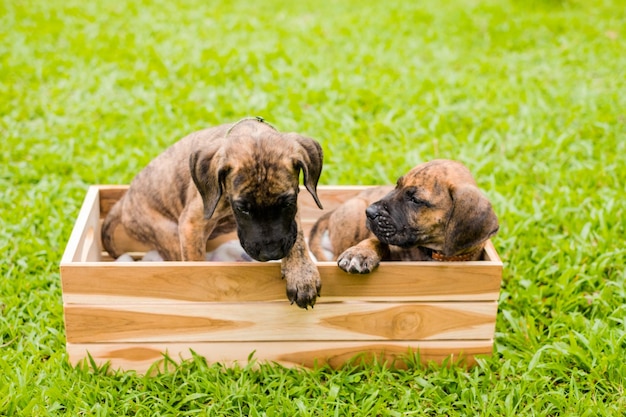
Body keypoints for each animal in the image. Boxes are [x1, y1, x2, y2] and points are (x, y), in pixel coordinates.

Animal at [100, 116, 324, 306]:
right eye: (242, 209)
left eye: (287, 203)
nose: (272, 254)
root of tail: (125, 199)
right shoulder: (191, 224)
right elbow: (196, 262)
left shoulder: (292, 216)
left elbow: (297, 238)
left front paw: (301, 275)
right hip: (167, 232)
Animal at [308, 159, 498, 272]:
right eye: (396, 186)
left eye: (415, 200)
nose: (370, 213)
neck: (432, 253)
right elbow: (376, 241)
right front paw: (360, 253)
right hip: (355, 208)